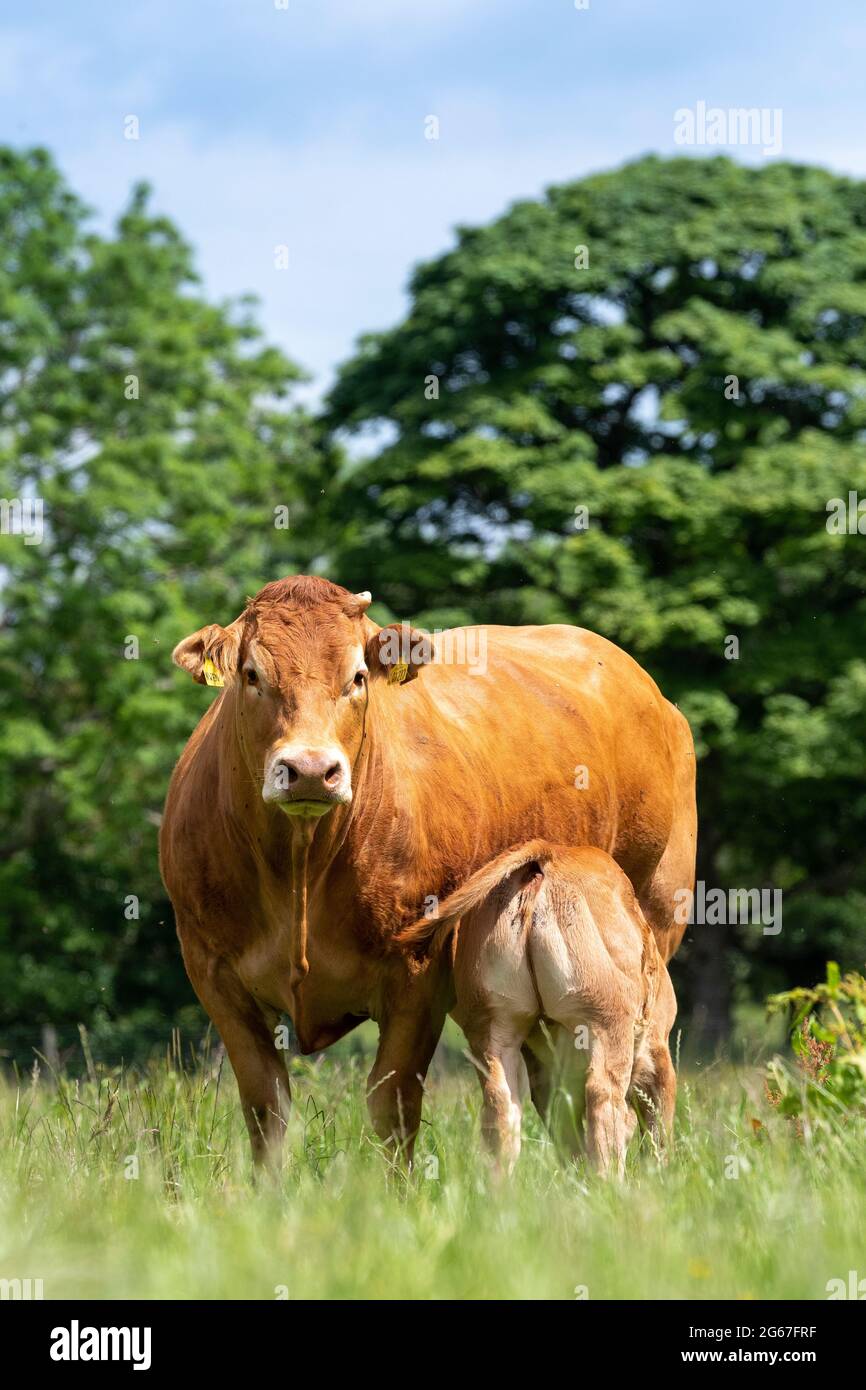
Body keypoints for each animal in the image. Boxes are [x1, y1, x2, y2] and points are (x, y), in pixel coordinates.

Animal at [159, 574, 696, 1167]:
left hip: (653, 930)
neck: (300, 868)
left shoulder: (417, 971)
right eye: (252, 675)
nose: (310, 770)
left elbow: (392, 1105)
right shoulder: (213, 972)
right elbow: (266, 1109)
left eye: (357, 677)